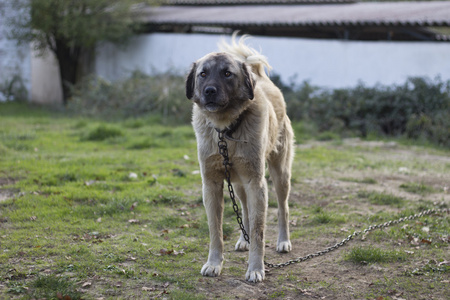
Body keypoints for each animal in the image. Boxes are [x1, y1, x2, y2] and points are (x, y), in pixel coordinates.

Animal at [185, 34, 294, 282]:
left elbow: (258, 229)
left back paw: (283, 241)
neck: (226, 130)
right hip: (238, 181)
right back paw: (244, 240)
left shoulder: (256, 182)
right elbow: (215, 230)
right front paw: (214, 263)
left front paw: (256, 268)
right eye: (203, 74)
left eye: (227, 73)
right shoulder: (212, 184)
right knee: (243, 208)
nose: (210, 91)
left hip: (279, 174)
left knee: (282, 208)